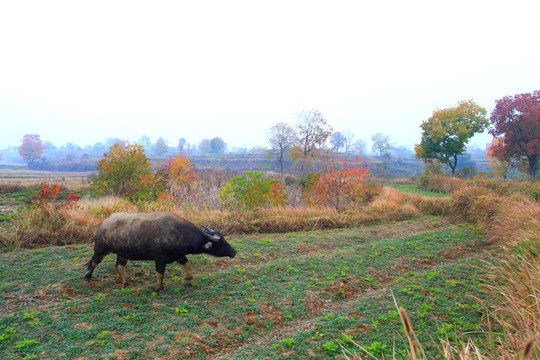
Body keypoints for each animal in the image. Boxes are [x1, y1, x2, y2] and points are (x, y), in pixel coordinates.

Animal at [84, 212, 236, 294]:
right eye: (222, 242)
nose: (234, 252)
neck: (179, 233)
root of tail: (103, 224)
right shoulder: (160, 259)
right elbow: (160, 274)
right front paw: (160, 289)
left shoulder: (179, 256)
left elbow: (188, 266)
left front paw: (188, 280)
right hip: (101, 250)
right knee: (92, 263)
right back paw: (86, 278)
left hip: (122, 254)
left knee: (119, 266)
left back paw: (125, 283)